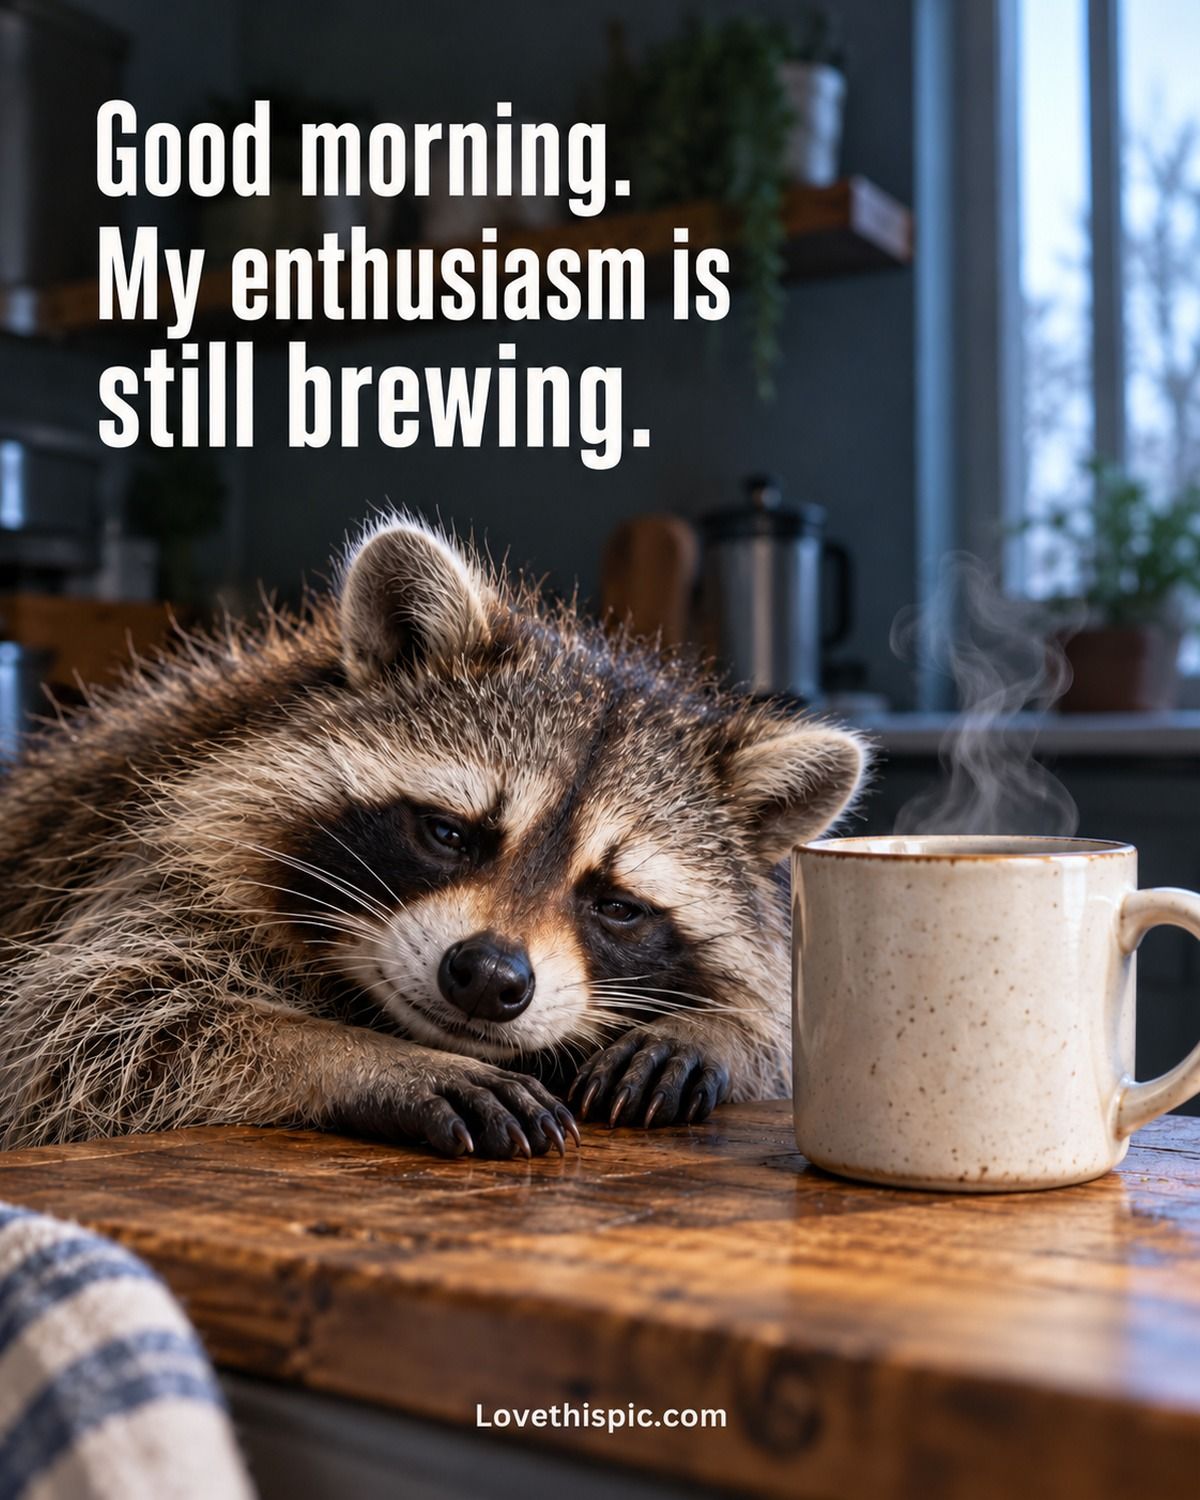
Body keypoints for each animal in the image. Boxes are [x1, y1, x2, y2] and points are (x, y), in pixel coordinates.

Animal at [0, 518, 867, 1157]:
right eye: (449, 834)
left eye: (617, 906)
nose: (488, 977)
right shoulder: (147, 864)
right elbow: (81, 1029)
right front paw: (348, 1055)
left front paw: (715, 1030)